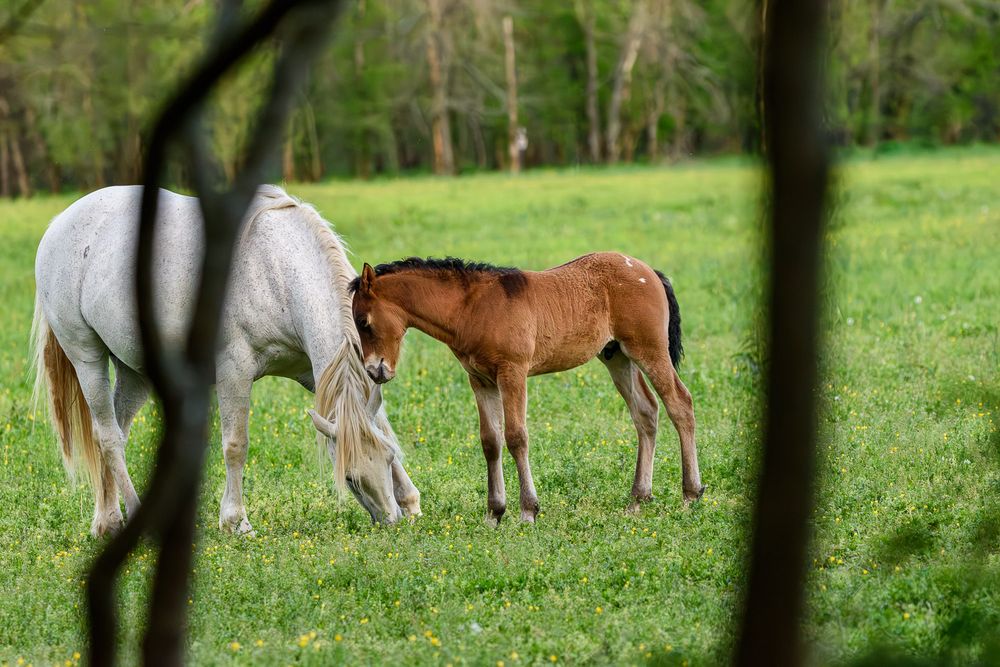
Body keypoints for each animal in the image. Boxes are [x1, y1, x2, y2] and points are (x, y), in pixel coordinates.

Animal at [31, 185, 421, 536]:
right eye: (350, 477)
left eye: (388, 457)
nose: (391, 521)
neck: (277, 269)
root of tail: (59, 224)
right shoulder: (235, 372)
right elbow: (236, 444)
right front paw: (236, 521)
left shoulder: (314, 373)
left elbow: (381, 424)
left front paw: (411, 501)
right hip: (86, 357)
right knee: (108, 436)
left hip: (133, 371)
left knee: (116, 434)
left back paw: (107, 520)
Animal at [349, 254, 705, 524]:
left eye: (364, 322)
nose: (375, 371)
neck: (472, 309)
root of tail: (648, 271)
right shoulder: (480, 381)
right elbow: (490, 441)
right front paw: (494, 513)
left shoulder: (513, 373)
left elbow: (517, 437)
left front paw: (528, 511)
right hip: (617, 356)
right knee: (646, 412)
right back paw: (637, 500)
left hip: (648, 349)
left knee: (680, 403)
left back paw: (690, 494)